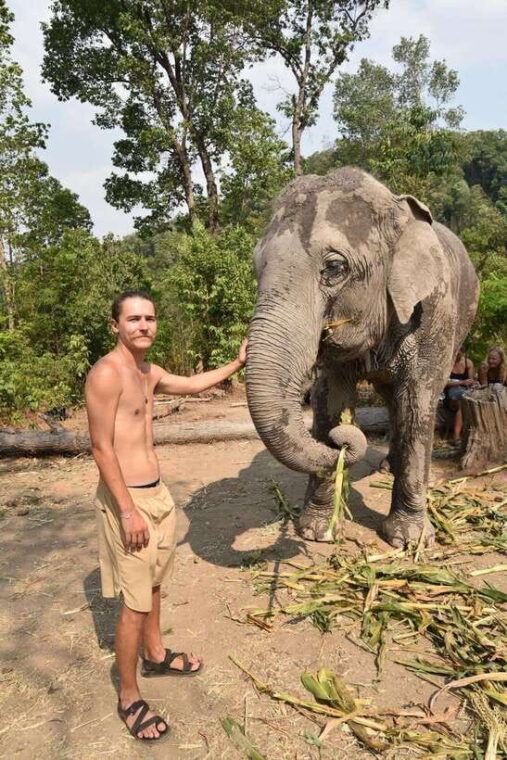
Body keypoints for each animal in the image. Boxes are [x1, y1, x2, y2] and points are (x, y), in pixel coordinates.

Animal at [246, 167, 479, 548]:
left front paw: (408, 541)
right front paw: (317, 531)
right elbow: (330, 397)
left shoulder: (435, 312)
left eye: (334, 267)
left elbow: (419, 399)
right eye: (256, 267)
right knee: (390, 398)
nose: (344, 440)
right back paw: (388, 468)